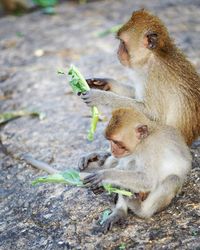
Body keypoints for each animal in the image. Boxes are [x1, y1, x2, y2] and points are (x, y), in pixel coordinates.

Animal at [80, 9, 200, 146]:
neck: (150, 58)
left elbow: (153, 115)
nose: (117, 52)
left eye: (122, 43)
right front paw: (105, 84)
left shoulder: (155, 75)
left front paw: (100, 96)